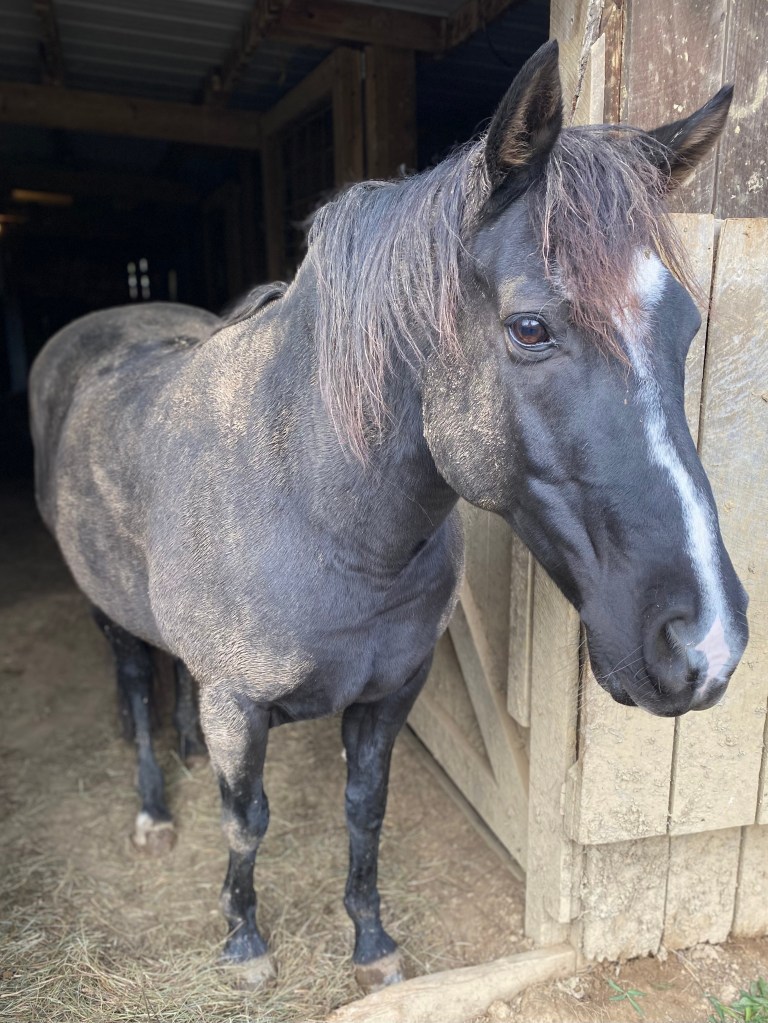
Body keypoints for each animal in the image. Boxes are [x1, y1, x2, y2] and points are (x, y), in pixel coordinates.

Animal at [29, 40, 748, 992]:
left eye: (688, 326)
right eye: (529, 328)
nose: (706, 644)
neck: (318, 516)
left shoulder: (388, 692)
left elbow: (364, 811)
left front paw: (372, 943)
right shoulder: (238, 704)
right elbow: (245, 820)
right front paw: (244, 941)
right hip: (106, 610)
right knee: (137, 686)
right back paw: (153, 807)